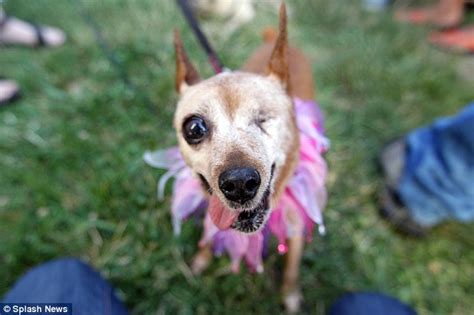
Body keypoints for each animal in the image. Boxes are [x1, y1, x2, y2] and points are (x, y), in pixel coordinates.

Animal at [172, 3, 316, 314]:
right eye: (194, 128)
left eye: (265, 118)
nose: (239, 184)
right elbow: (209, 235)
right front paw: (201, 261)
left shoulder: (297, 225)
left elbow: (292, 267)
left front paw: (290, 294)